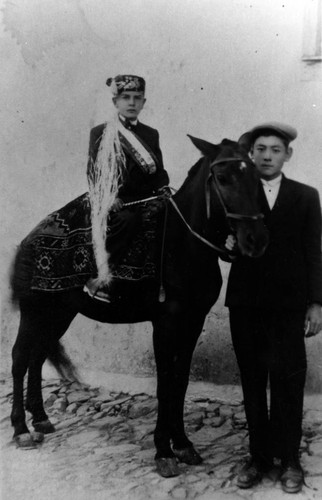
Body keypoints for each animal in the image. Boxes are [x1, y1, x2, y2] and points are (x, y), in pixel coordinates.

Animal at [9, 136, 270, 476]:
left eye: (256, 177)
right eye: (223, 178)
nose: (256, 240)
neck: (182, 245)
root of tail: (27, 240)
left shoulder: (192, 322)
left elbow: (180, 382)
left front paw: (182, 443)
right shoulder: (165, 324)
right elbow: (165, 384)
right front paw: (163, 451)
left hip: (59, 314)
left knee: (37, 357)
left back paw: (40, 418)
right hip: (34, 311)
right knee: (19, 359)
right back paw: (21, 430)